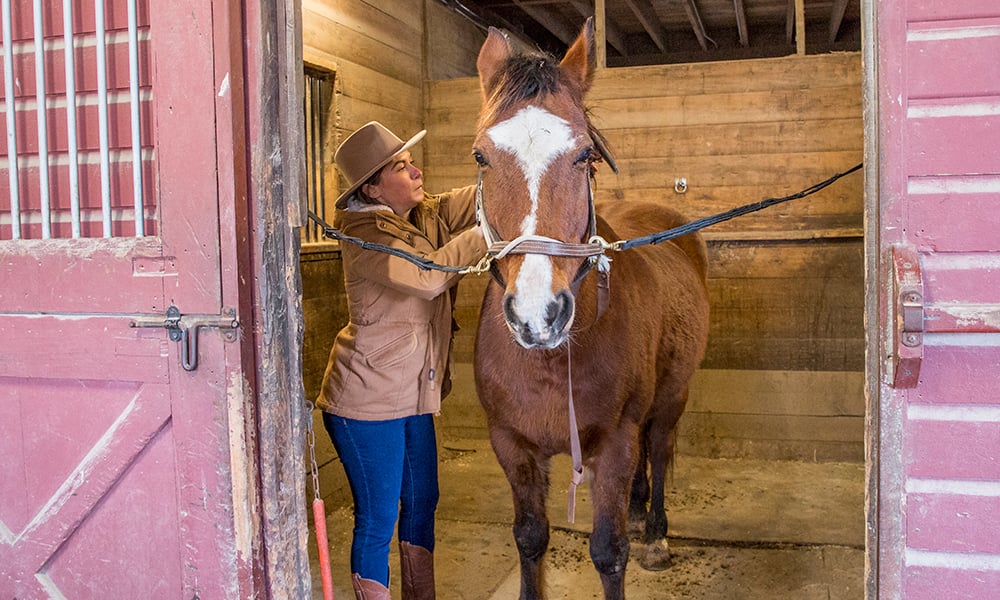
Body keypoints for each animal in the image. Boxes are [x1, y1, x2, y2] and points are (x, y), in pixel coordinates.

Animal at [470, 16, 712, 596]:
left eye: (585, 155)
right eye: (481, 157)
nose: (538, 314)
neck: (550, 363)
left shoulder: (614, 443)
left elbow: (608, 551)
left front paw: (637, 537)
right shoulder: (511, 444)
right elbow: (530, 538)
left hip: (672, 397)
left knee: (659, 446)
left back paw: (656, 531)